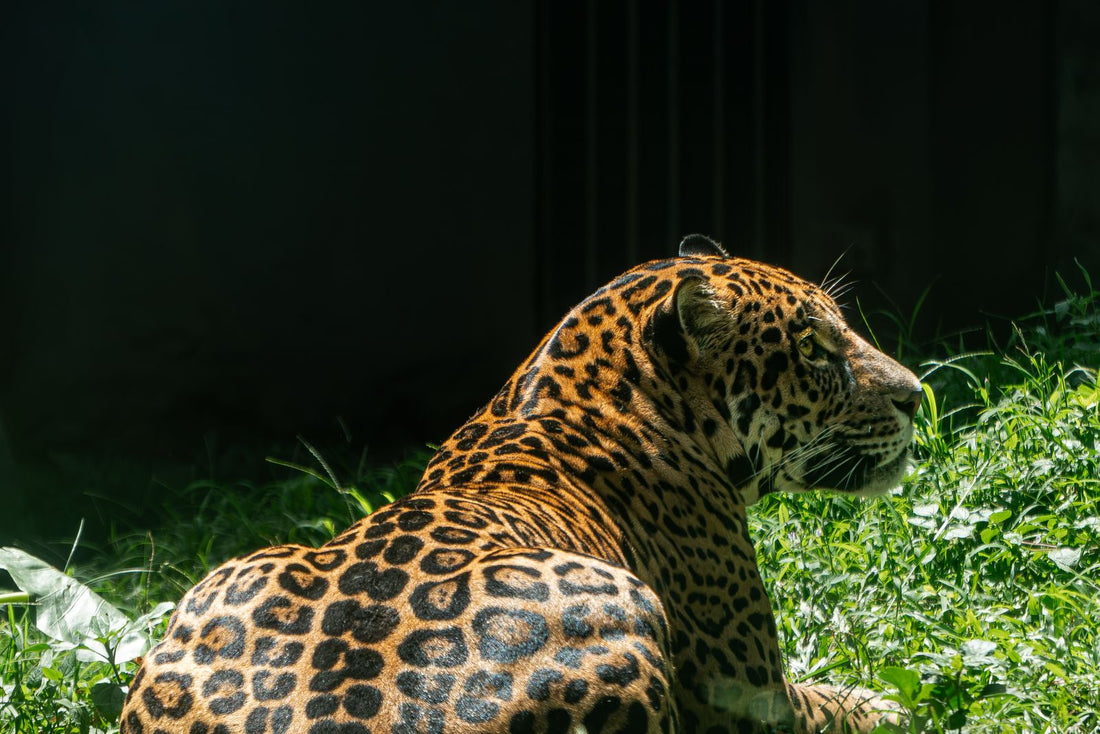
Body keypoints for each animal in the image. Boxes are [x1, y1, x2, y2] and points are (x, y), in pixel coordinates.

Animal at [120, 235, 923, 734]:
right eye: (816, 348)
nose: (918, 395)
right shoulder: (752, 696)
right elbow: (837, 709)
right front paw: (890, 704)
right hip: (627, 598)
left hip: (228, 574)